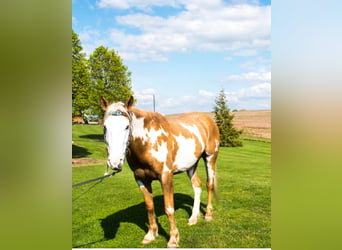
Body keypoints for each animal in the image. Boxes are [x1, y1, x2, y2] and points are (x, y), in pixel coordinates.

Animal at [100, 95, 220, 248]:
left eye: (127, 126)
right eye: (105, 127)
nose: (115, 163)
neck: (148, 143)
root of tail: (208, 120)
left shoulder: (166, 177)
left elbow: (169, 209)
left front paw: (173, 239)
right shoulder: (141, 179)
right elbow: (150, 207)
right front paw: (151, 235)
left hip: (210, 158)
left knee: (209, 184)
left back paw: (208, 214)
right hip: (191, 165)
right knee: (197, 186)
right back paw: (193, 218)